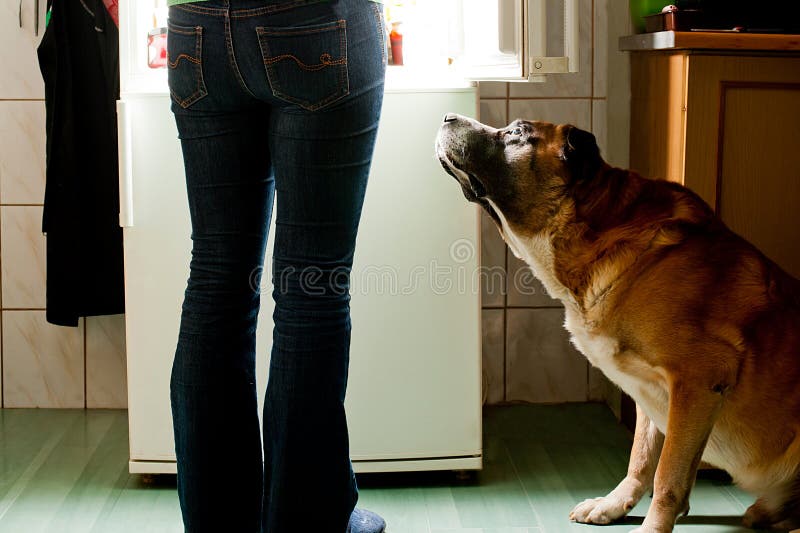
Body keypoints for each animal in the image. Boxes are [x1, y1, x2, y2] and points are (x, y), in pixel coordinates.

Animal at [434, 114, 800, 528]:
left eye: (517, 133)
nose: (447, 117)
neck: (598, 234)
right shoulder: (652, 393)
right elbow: (641, 459)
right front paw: (614, 504)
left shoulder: (697, 380)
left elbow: (668, 475)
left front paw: (653, 526)